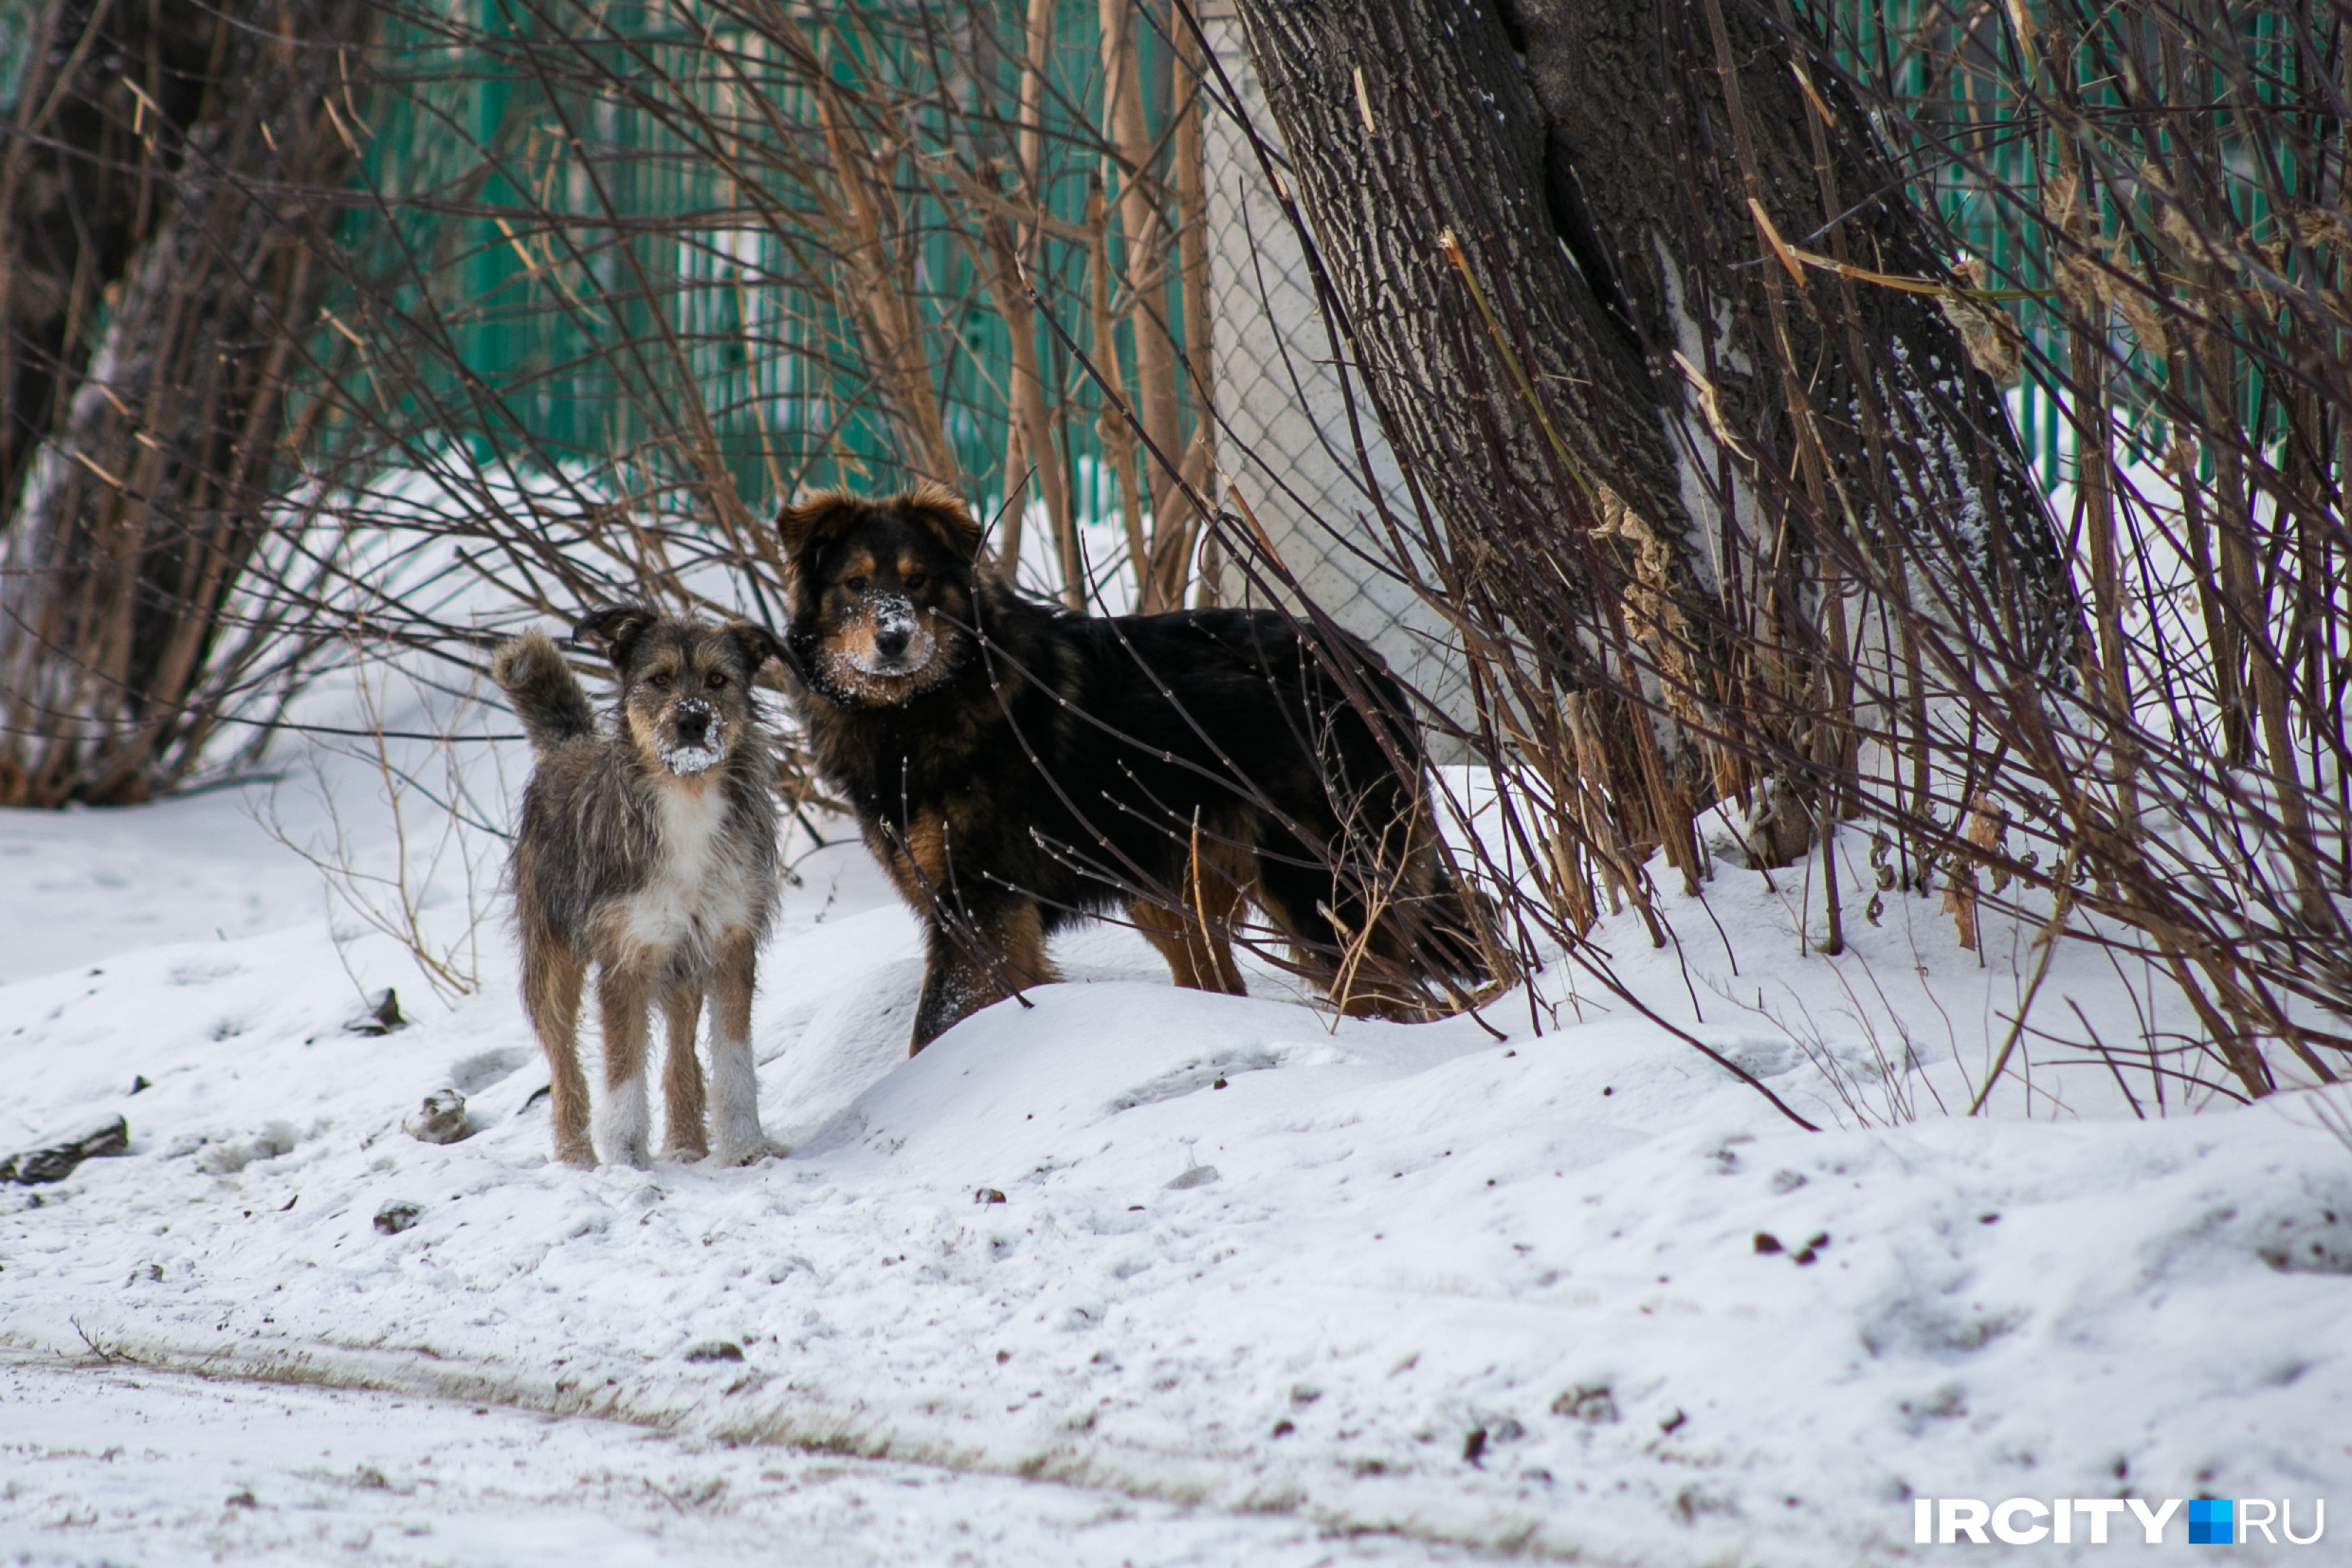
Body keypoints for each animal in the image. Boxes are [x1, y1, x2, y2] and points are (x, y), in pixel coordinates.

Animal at [494, 606, 790, 1170]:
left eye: (717, 680)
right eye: (659, 680)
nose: (693, 720)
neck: (688, 799)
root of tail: (568, 744)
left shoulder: (729, 945)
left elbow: (734, 1061)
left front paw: (745, 1148)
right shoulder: (624, 957)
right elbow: (623, 1072)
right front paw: (627, 1160)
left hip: (681, 969)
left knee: (679, 1055)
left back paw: (685, 1146)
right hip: (551, 966)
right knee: (564, 1067)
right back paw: (576, 1156)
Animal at [780, 483, 1495, 1062]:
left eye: (918, 580)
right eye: (854, 585)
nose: (893, 639)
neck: (916, 709)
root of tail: (1364, 667)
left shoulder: (979, 902)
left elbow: (933, 1029)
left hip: (1316, 886)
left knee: (1392, 993)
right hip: (1175, 897)